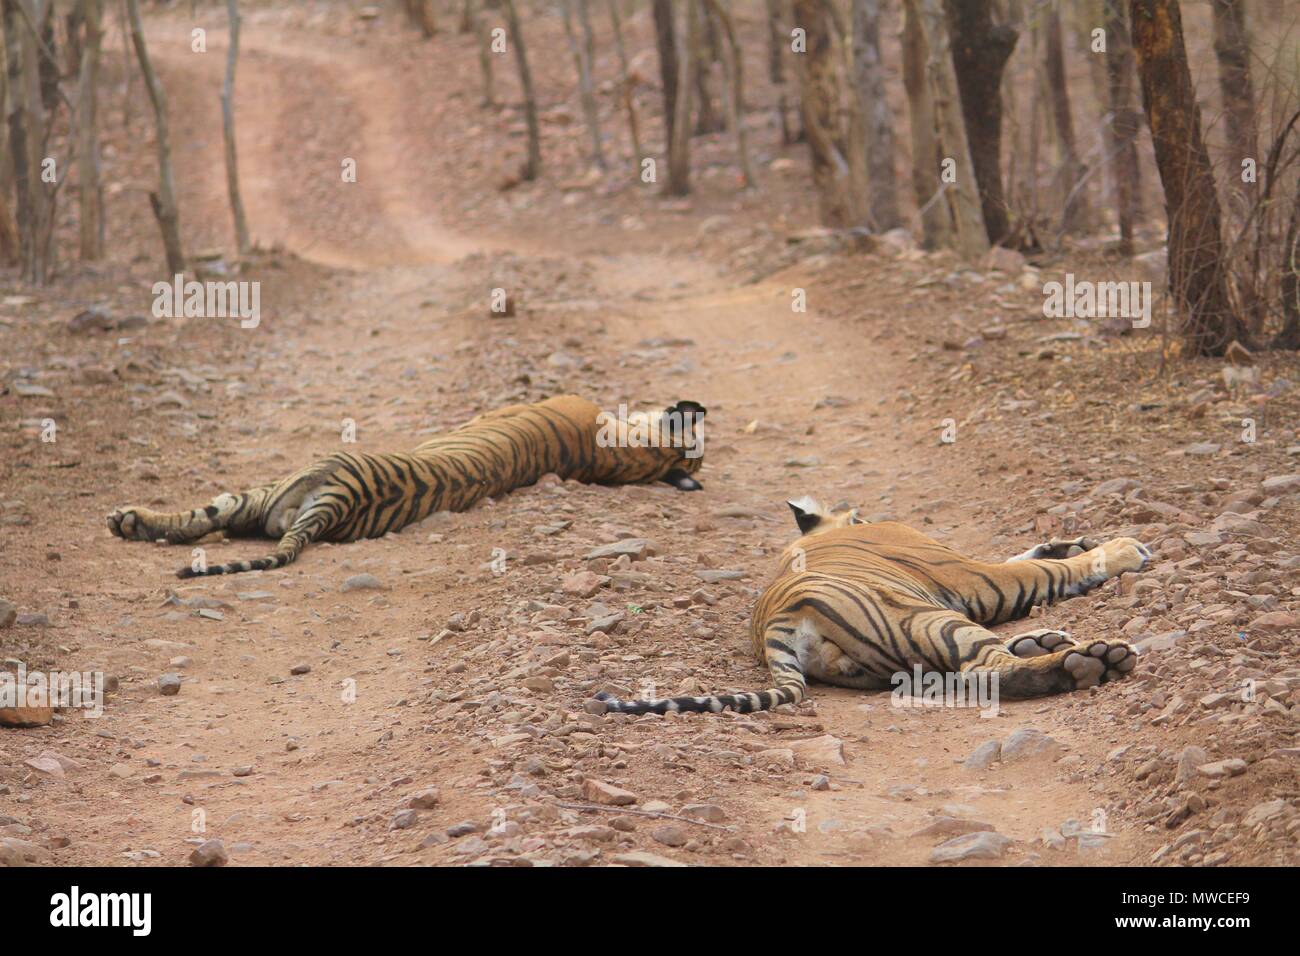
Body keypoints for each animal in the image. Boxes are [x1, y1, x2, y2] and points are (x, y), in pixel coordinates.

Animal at [106, 395, 707, 580]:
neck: (626, 454)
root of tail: (341, 502)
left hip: (278, 486)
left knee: (200, 519)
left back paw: (126, 520)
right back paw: (127, 521)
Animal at [595, 496, 1154, 712]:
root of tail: (774, 625)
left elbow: (1034, 555)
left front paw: (1067, 542)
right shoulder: (972, 573)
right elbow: (1037, 570)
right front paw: (1122, 549)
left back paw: (1051, 642)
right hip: (927, 618)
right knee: (990, 670)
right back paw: (1093, 661)